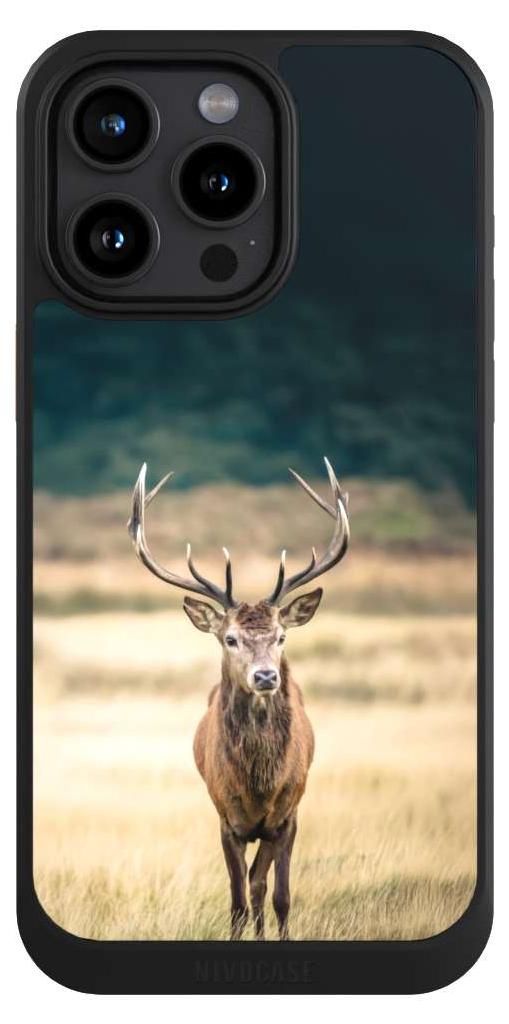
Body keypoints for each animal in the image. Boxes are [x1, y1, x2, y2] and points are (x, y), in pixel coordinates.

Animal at [128, 458, 349, 940]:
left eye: (281, 636)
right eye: (230, 638)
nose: (265, 676)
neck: (258, 786)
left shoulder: (287, 815)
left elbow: (277, 894)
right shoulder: (225, 818)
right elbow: (237, 900)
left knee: (263, 887)